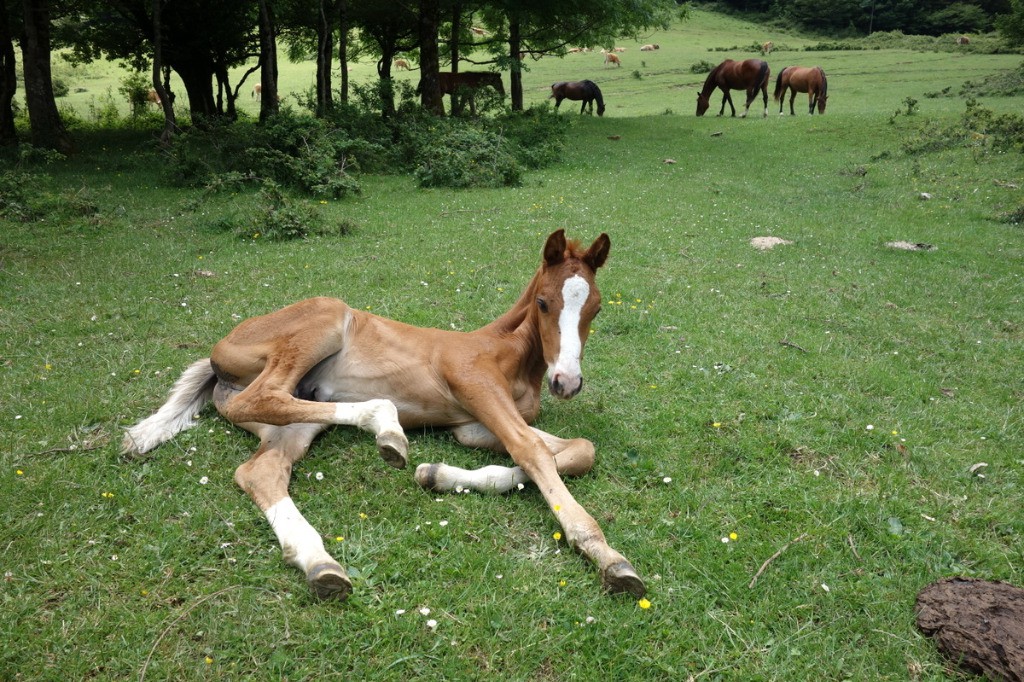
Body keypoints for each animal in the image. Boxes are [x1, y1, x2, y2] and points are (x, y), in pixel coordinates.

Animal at [123, 229, 643, 602]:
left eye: (595, 308)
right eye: (543, 302)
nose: (566, 383)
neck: (505, 352)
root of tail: (217, 357)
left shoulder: (472, 428)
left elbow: (575, 452)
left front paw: (437, 474)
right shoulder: (476, 390)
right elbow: (533, 450)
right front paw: (605, 554)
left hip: (297, 419)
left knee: (261, 469)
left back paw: (320, 564)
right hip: (322, 322)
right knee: (262, 398)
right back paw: (385, 428)